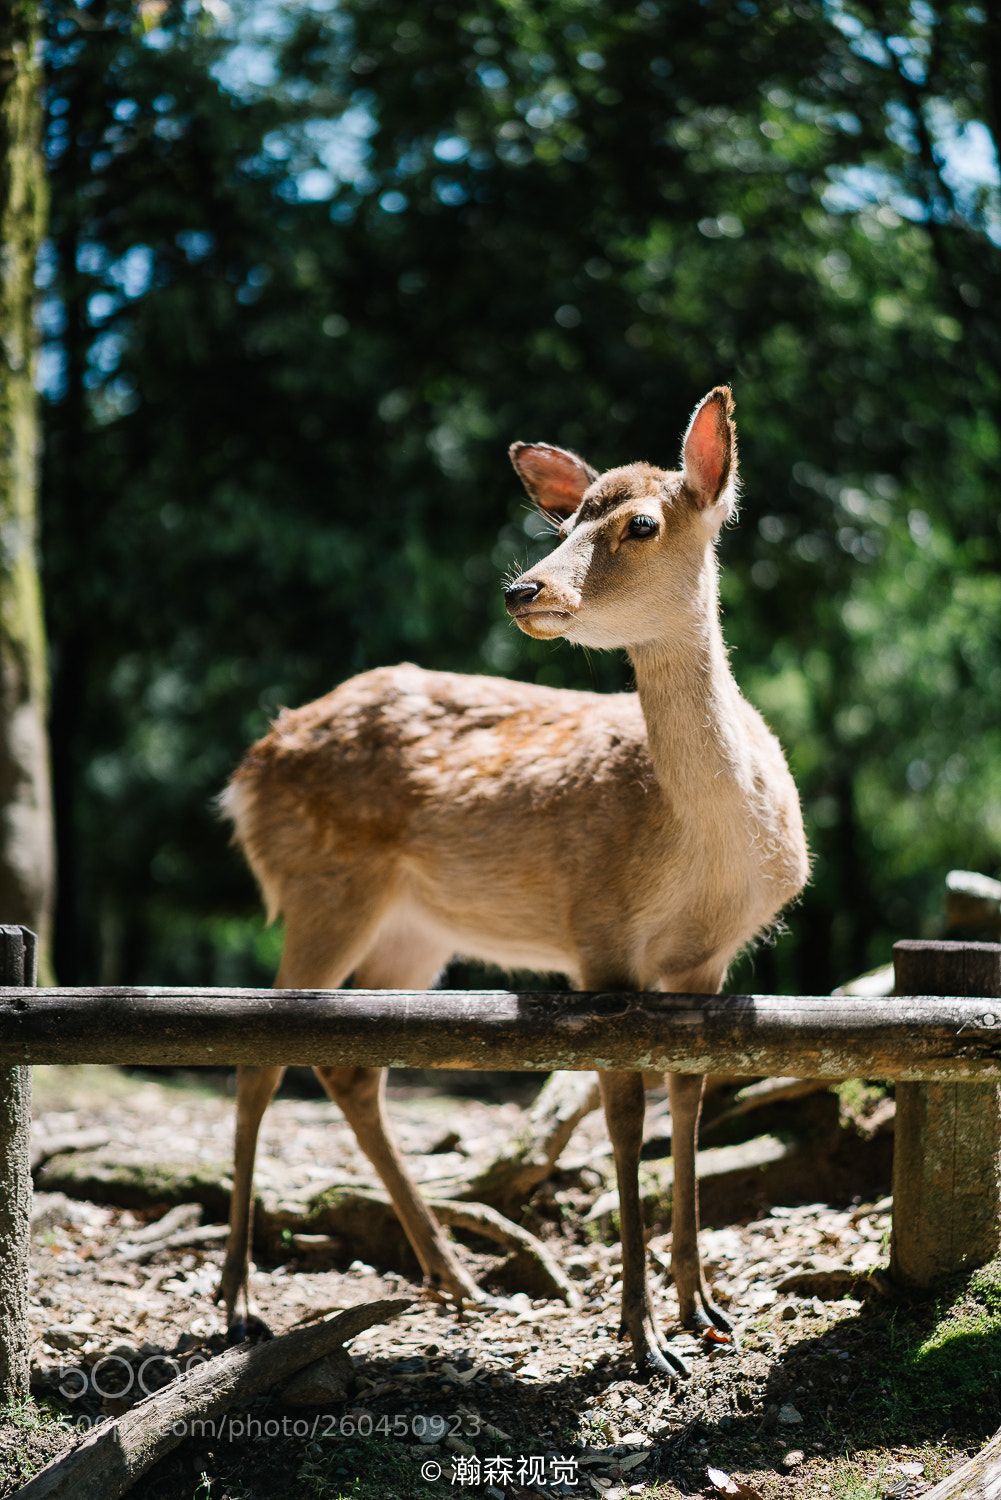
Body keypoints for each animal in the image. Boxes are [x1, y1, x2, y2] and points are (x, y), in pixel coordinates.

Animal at [216, 386, 809, 1378]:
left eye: (640, 523)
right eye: (565, 521)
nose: (522, 589)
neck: (704, 854)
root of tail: (248, 768)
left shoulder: (706, 960)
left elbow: (688, 1103)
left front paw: (705, 1310)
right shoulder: (599, 934)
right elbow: (623, 1122)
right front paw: (642, 1336)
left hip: (413, 933)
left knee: (348, 1063)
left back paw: (457, 1279)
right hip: (320, 887)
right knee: (261, 1054)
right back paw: (239, 1304)